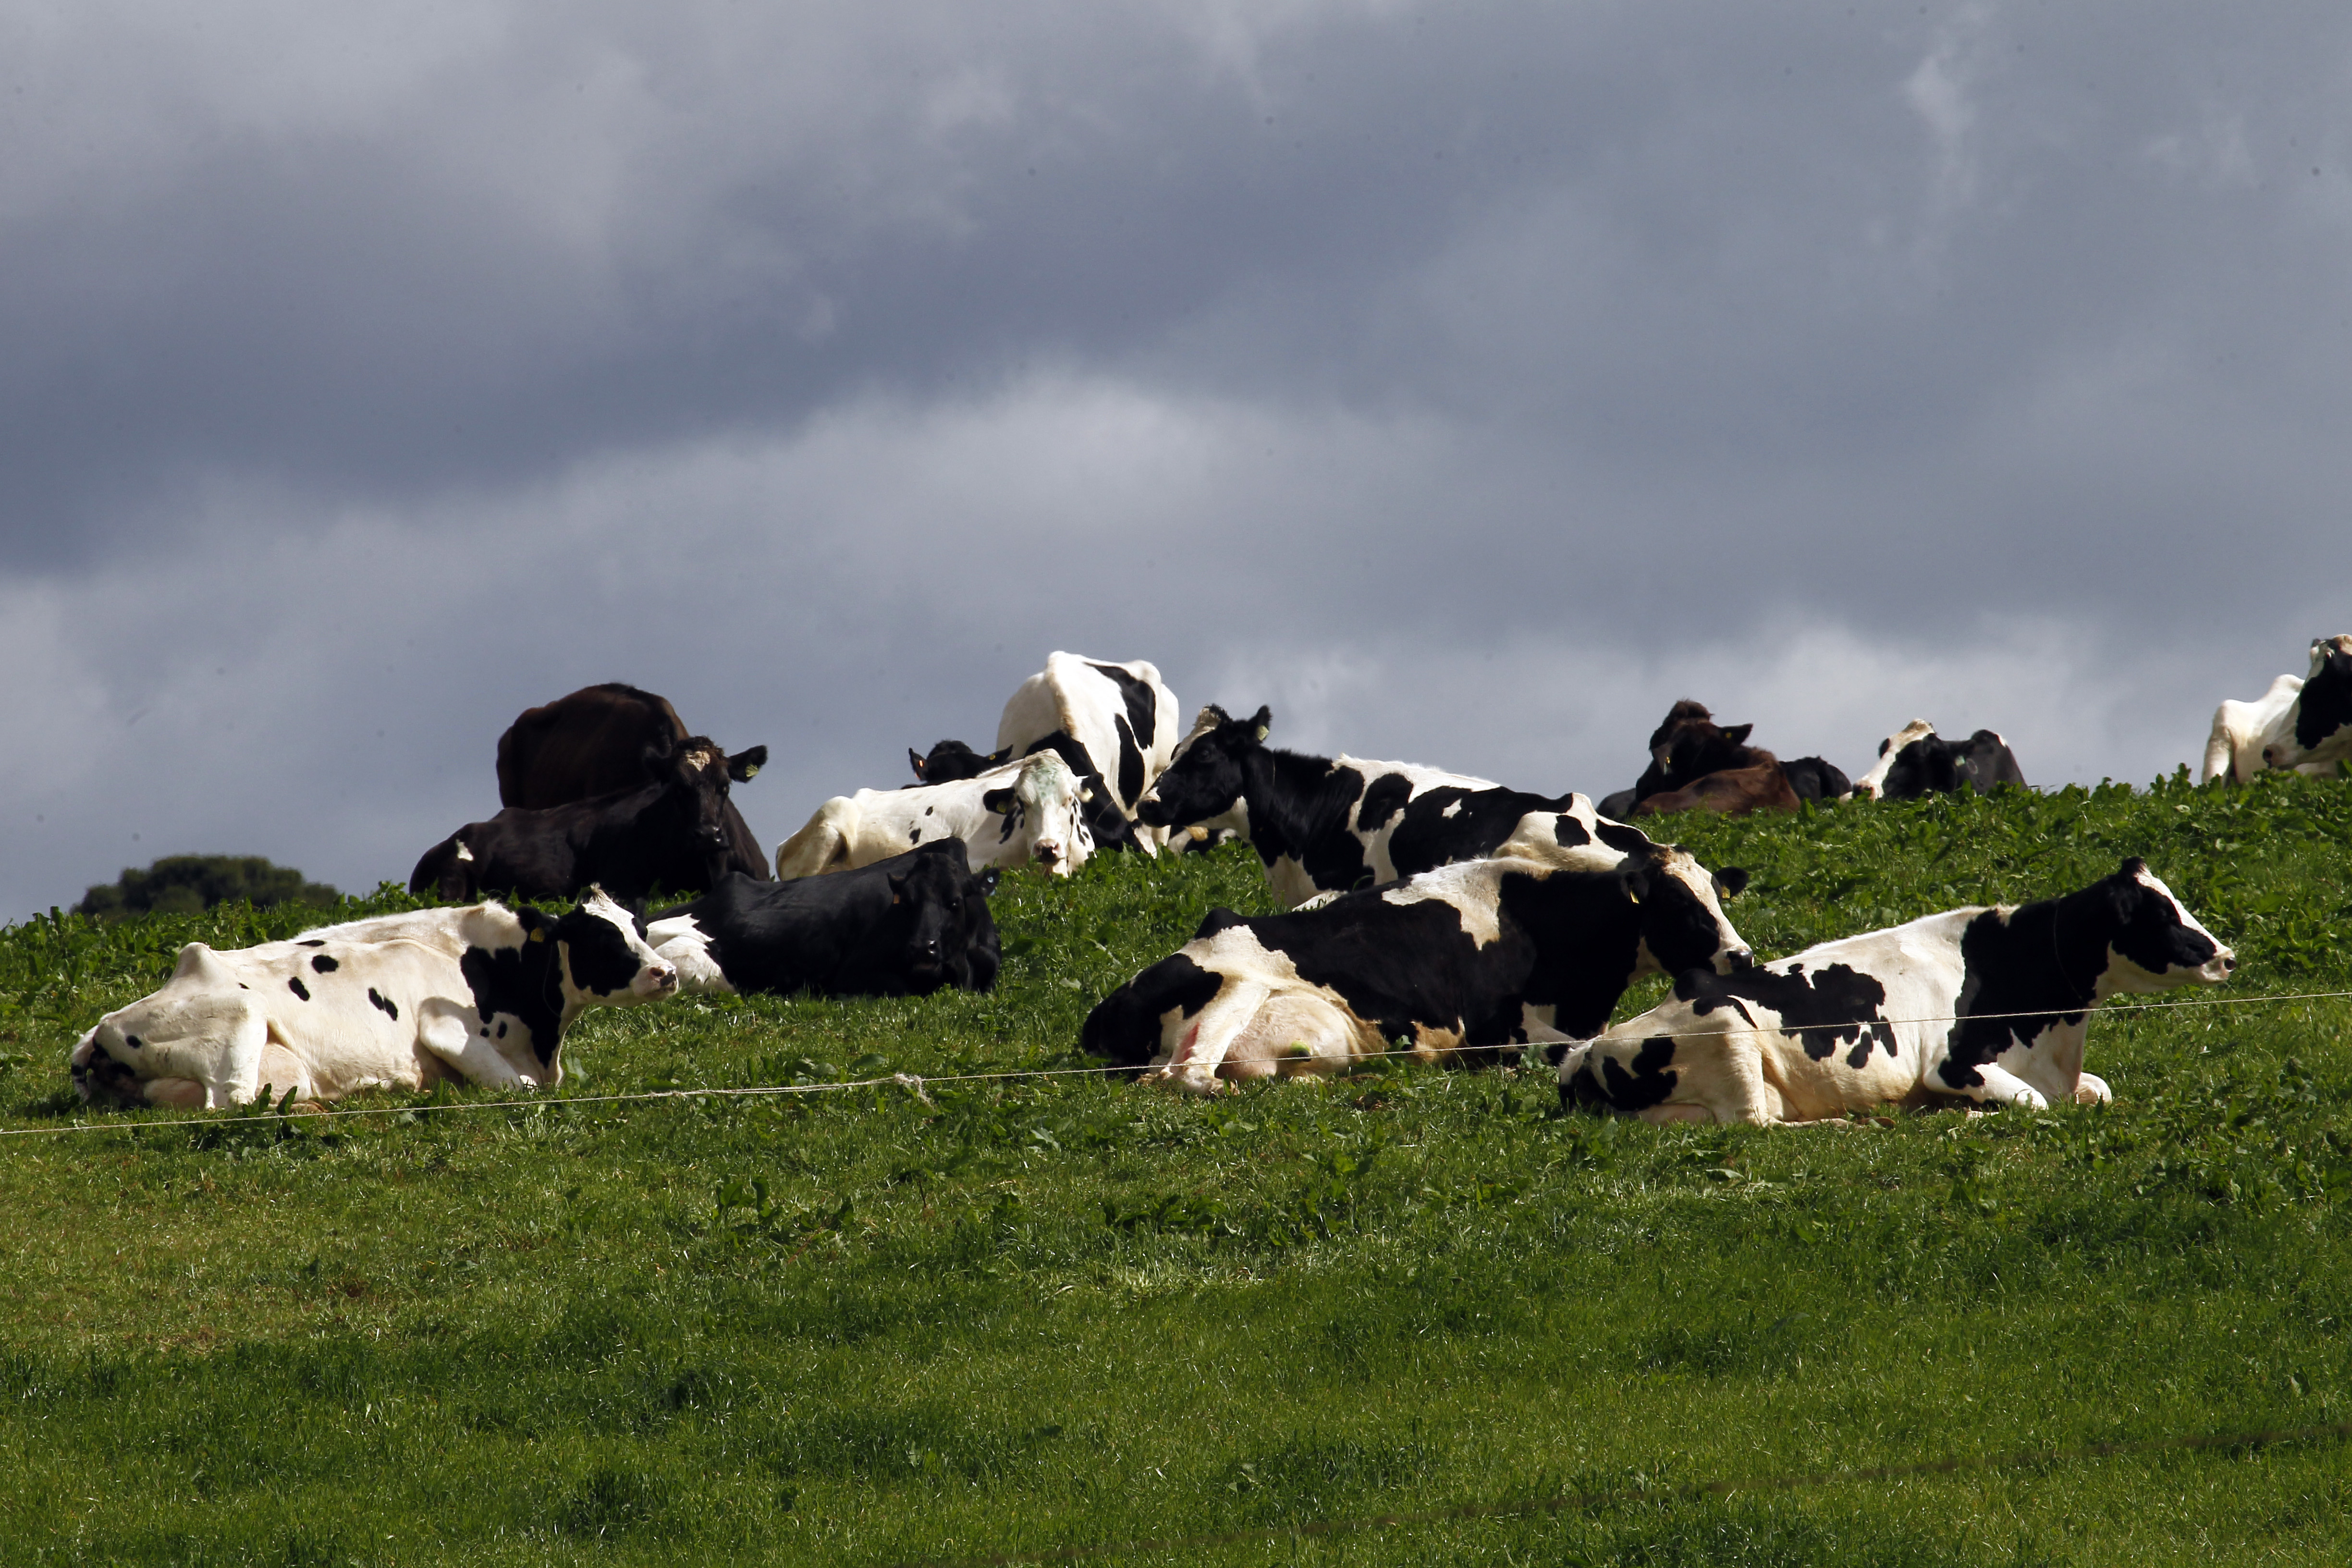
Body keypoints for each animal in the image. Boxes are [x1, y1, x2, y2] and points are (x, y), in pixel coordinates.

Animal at [71, 889, 677, 1110]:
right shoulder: (444, 1028)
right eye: (602, 940)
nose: (667, 973)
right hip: (242, 1019)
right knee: (231, 1104)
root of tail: (99, 1029)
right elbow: (521, 1088)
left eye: (638, 926)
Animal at [1080, 806, 1751, 1094]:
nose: (1741, 957)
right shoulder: (1505, 1031)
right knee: (1182, 1074)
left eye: (1719, 896)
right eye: (1680, 906)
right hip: (1235, 984)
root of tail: (1101, 1014)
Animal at [1559, 858, 2231, 1125]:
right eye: (2159, 913)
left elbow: (2101, 1090)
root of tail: (1592, 1047)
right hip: (1728, 1032)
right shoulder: (1951, 1065)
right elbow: (2033, 1104)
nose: (2226, 956)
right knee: (1755, 1124)